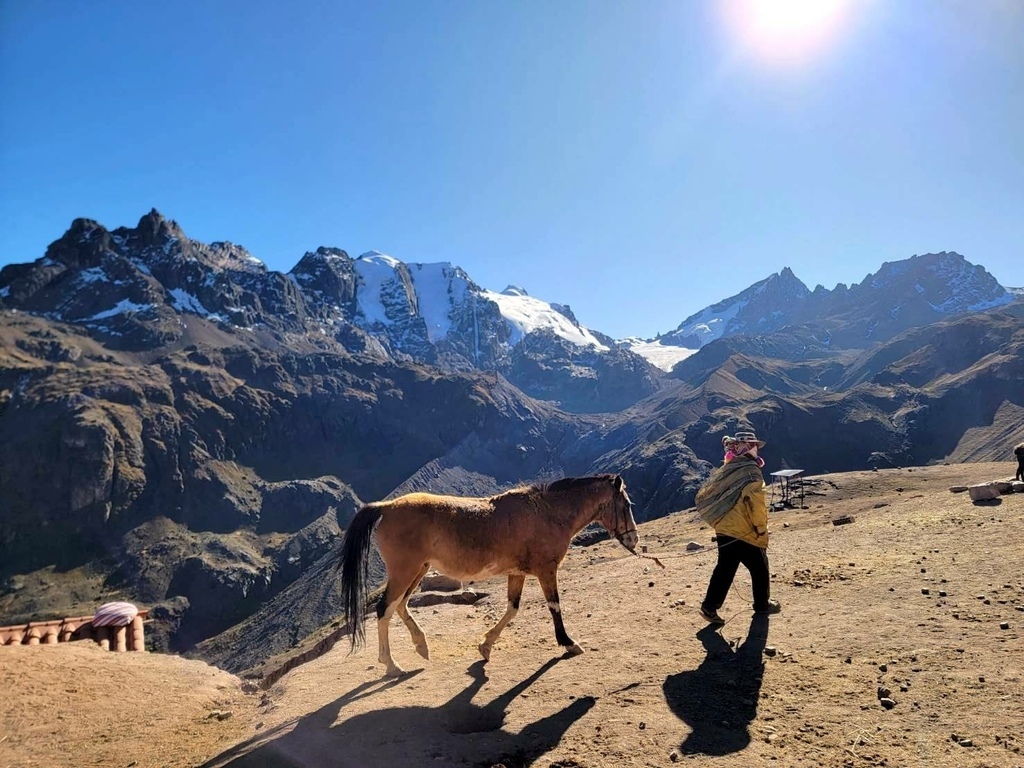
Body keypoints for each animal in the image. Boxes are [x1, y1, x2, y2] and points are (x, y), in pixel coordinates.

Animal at [339, 475, 634, 679]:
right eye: (627, 504)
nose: (634, 539)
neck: (545, 512)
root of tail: (387, 507)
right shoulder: (546, 571)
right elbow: (554, 606)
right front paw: (569, 643)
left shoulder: (517, 573)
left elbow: (512, 609)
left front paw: (485, 646)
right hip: (405, 571)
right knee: (384, 609)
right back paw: (391, 665)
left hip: (418, 570)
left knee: (399, 605)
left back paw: (421, 646)